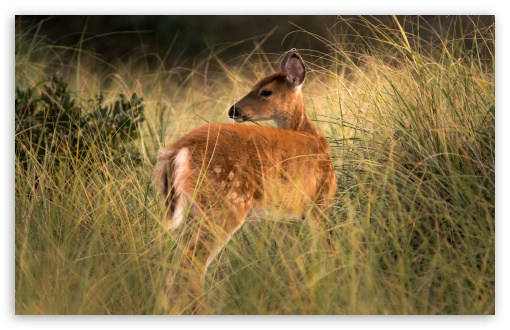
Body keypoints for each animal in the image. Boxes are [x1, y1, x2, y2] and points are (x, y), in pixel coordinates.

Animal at [155, 47, 338, 314]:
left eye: (265, 91)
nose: (234, 110)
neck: (310, 135)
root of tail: (177, 150)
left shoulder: (284, 214)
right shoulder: (320, 199)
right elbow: (326, 246)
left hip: (198, 207)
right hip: (226, 202)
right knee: (193, 260)